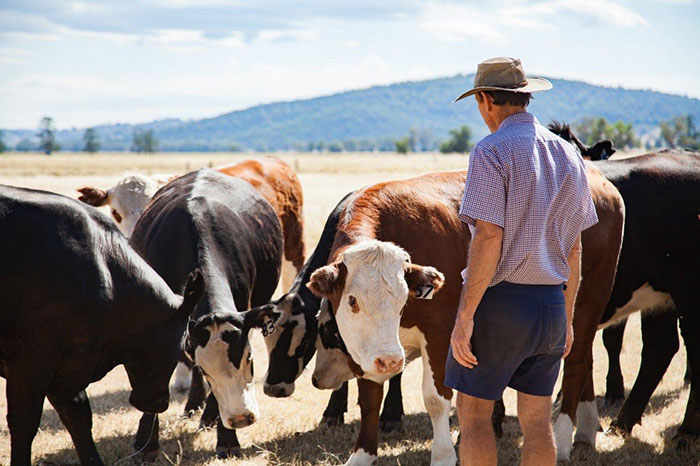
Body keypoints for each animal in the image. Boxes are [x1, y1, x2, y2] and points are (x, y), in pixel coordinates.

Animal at [0, 186, 205, 466]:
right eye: (185, 343)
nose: (159, 402)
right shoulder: (31, 362)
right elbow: (24, 425)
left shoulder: (69, 364)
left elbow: (78, 418)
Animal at [306, 168, 624, 466]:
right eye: (352, 301)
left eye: (402, 300)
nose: (392, 361)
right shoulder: (370, 349)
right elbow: (370, 397)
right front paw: (362, 455)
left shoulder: (439, 332)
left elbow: (436, 399)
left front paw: (443, 455)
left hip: (585, 306)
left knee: (577, 364)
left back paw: (563, 438)